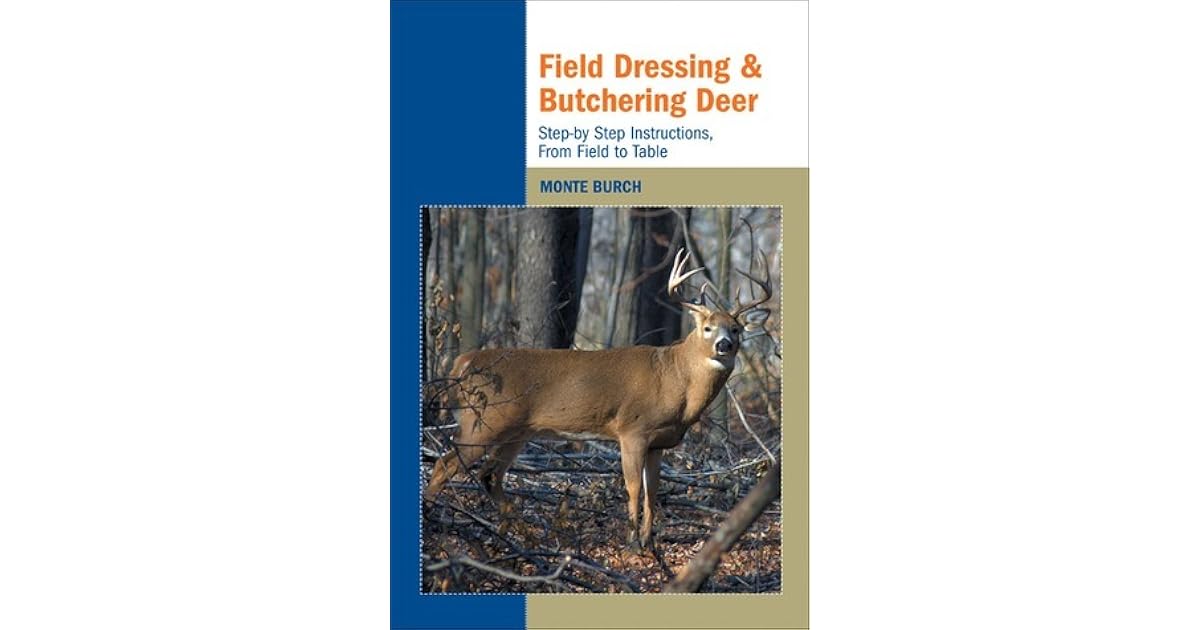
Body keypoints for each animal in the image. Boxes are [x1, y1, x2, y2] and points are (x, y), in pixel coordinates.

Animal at [423, 247, 771, 551]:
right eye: (708, 327)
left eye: (737, 329)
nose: (724, 345)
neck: (675, 380)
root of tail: (463, 362)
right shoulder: (632, 430)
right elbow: (633, 487)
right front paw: (632, 543)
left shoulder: (658, 442)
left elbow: (653, 492)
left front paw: (649, 542)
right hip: (483, 420)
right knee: (444, 465)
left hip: (516, 431)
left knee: (489, 475)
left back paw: (521, 534)